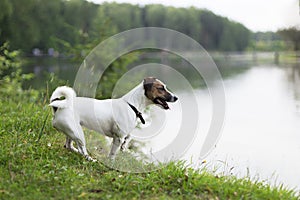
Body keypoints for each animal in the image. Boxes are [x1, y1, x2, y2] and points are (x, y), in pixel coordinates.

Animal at [48, 77, 177, 161]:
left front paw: (125, 148)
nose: (176, 97)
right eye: (161, 88)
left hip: (72, 131)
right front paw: (112, 162)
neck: (131, 104)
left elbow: (128, 139)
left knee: (68, 145)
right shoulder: (118, 137)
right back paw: (90, 158)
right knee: (82, 149)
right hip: (78, 133)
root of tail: (58, 107)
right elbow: (113, 153)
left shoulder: (123, 135)